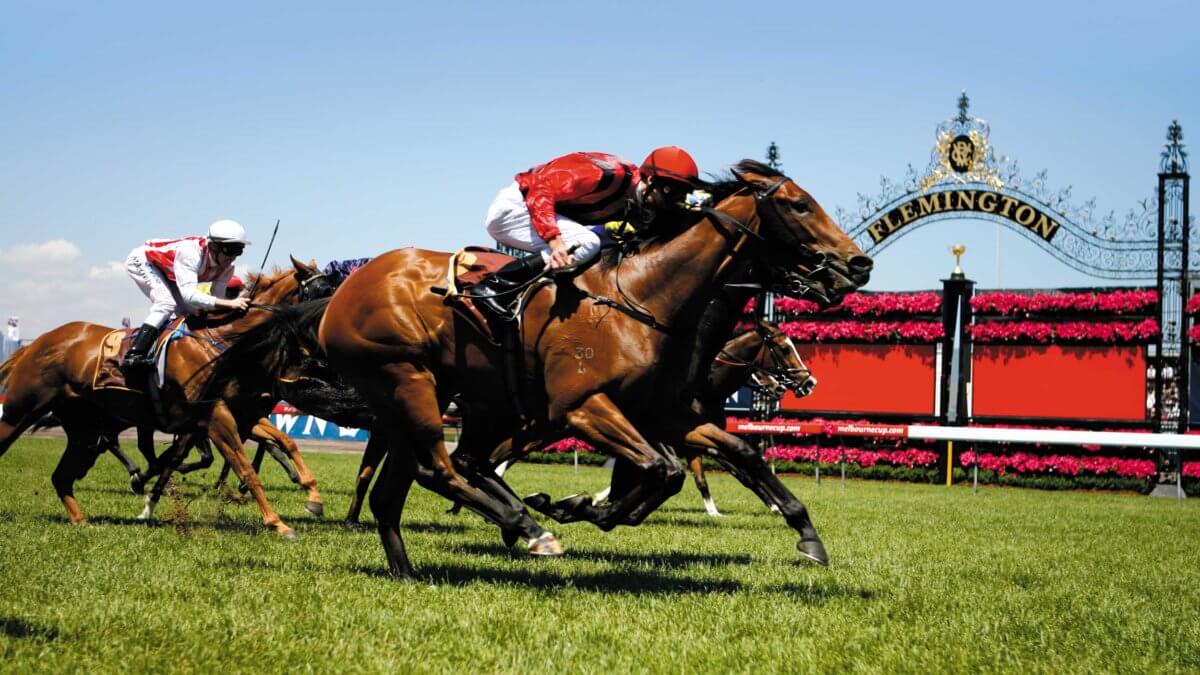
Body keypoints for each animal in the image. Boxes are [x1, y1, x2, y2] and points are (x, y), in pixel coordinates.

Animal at [0, 254, 333, 533]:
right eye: (321, 291)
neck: (227, 343)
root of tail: (36, 343)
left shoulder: (241, 414)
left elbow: (285, 442)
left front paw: (313, 496)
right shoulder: (214, 417)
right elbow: (244, 467)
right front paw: (278, 523)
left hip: (85, 427)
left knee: (65, 474)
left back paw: (84, 519)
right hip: (20, 410)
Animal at [304, 158, 868, 578]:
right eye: (799, 204)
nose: (858, 264)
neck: (645, 300)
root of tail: (343, 292)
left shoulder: (667, 414)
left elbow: (733, 456)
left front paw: (806, 534)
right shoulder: (584, 407)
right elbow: (662, 471)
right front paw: (575, 508)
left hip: (435, 397)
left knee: (409, 484)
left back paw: (413, 567)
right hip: (409, 381)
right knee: (440, 468)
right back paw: (528, 528)